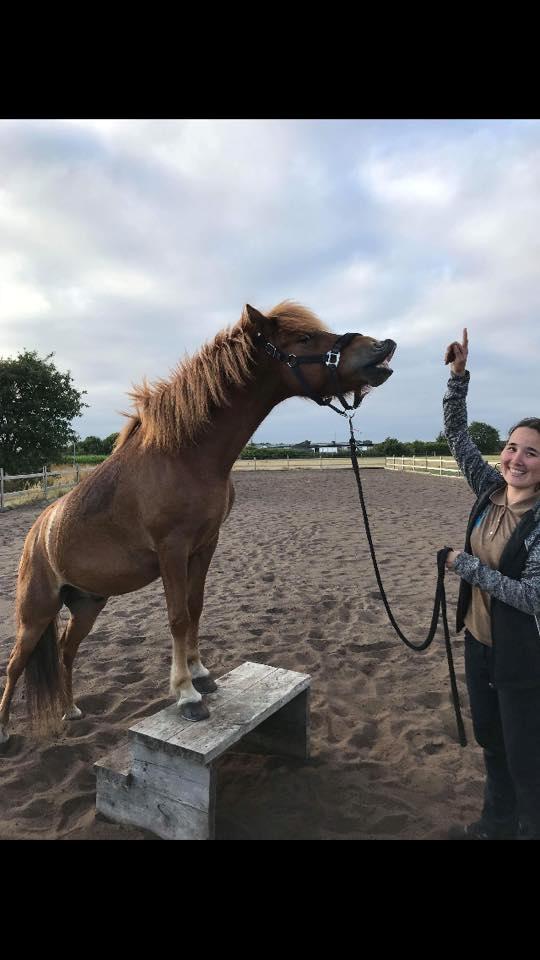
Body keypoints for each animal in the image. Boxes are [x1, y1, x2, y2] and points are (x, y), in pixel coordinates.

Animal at [0, 302, 396, 744]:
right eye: (304, 338)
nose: (381, 347)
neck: (186, 456)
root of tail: (38, 533)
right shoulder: (172, 549)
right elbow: (177, 616)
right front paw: (186, 695)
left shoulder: (205, 545)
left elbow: (195, 607)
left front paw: (201, 674)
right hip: (35, 613)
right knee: (15, 663)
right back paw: (4, 729)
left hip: (87, 605)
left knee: (66, 650)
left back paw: (70, 709)